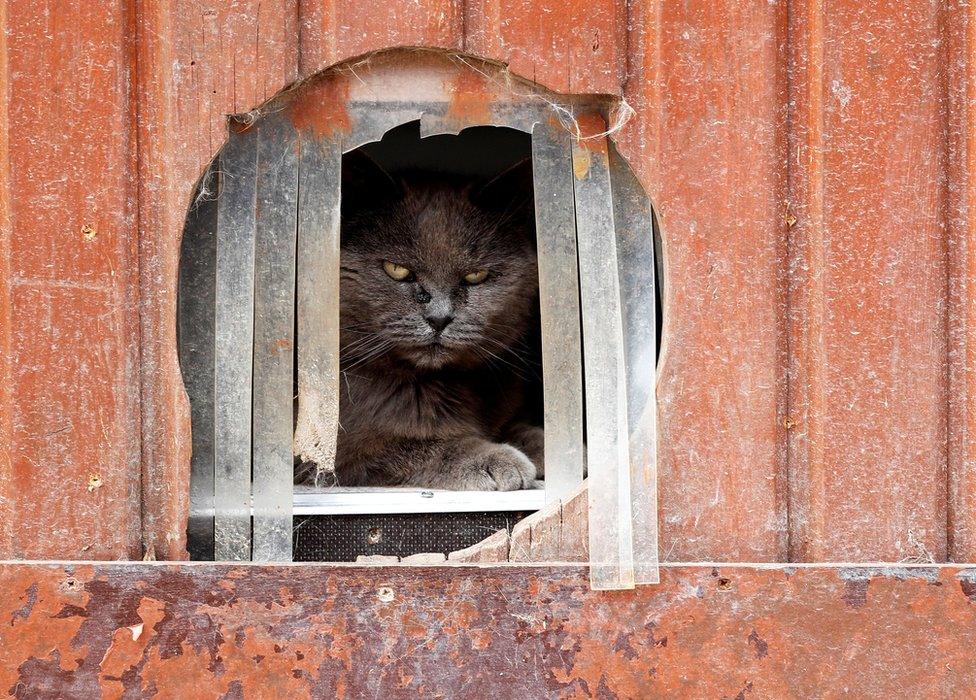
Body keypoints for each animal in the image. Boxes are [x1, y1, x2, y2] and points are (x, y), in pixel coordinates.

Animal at [298, 153, 540, 492]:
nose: (439, 317)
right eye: (396, 269)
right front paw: (494, 458)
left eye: (476, 276)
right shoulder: (331, 456)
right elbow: (414, 444)